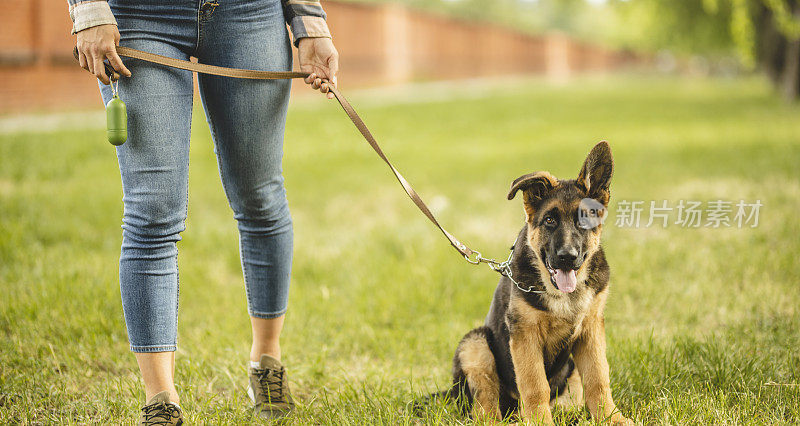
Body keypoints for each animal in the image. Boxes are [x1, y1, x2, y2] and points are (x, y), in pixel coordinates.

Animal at [450, 142, 632, 422]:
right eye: (549, 220)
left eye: (585, 220)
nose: (567, 257)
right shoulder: (525, 335)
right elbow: (535, 386)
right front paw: (539, 421)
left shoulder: (590, 329)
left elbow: (598, 379)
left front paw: (611, 418)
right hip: (476, 344)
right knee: (486, 404)